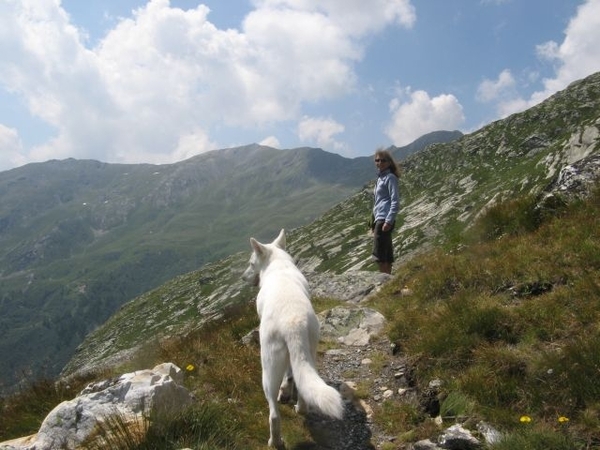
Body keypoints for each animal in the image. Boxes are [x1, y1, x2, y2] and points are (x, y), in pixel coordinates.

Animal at [243, 230, 344, 448]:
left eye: (251, 263)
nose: (242, 277)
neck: (278, 264)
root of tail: (293, 324)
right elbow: (290, 375)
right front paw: (287, 389)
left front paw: (284, 391)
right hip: (309, 352)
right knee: (303, 388)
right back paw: (300, 407)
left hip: (268, 368)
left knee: (273, 414)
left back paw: (274, 441)